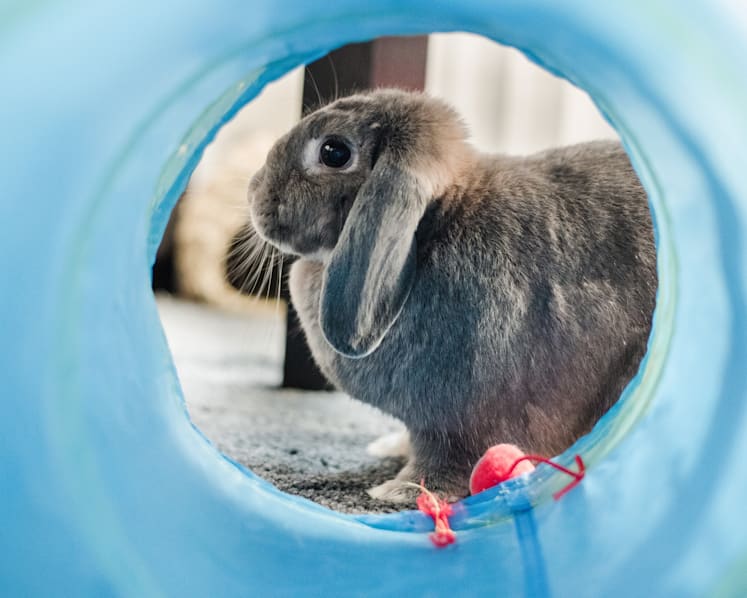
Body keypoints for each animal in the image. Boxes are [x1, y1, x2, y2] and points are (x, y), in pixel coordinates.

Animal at [246, 88, 657, 502]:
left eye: (333, 152)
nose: (253, 190)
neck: (435, 223)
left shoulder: (458, 425)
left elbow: (445, 458)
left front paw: (399, 491)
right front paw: (389, 451)